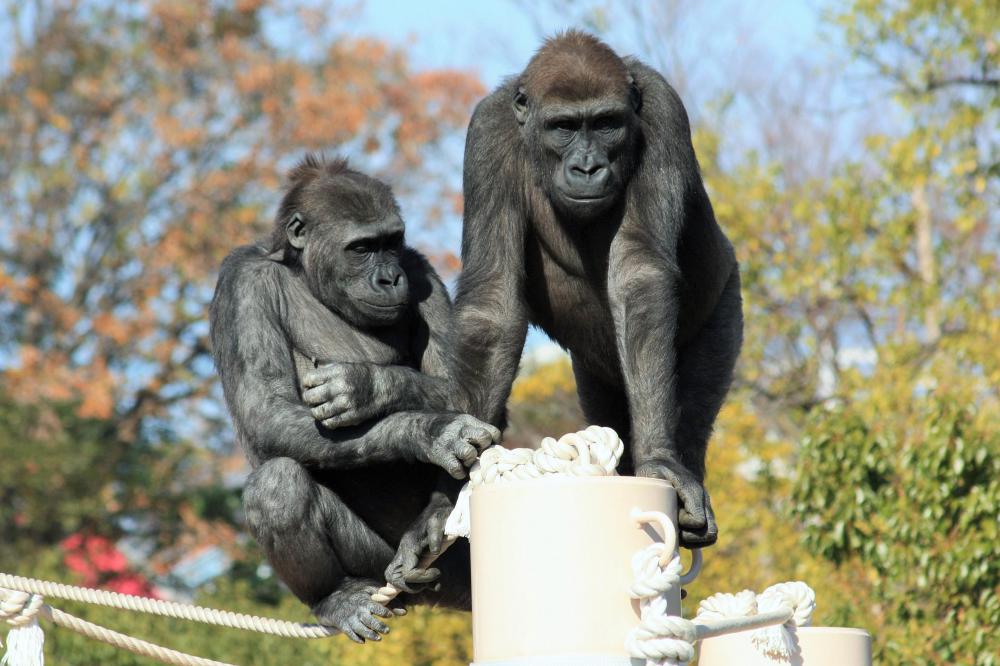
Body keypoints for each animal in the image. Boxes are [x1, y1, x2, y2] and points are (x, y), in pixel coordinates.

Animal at [209, 153, 498, 640]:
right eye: (361, 248)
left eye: (391, 243)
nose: (389, 277)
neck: (305, 273)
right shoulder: (241, 281)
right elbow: (267, 409)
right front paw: (430, 432)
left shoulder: (419, 268)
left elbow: (467, 383)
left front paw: (363, 386)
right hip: (374, 566)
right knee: (277, 485)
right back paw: (334, 597)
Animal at [452, 32, 744, 544]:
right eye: (564, 127)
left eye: (606, 124)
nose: (587, 167)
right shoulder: (486, 134)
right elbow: (493, 298)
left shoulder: (663, 110)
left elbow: (639, 272)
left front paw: (660, 460)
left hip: (726, 300)